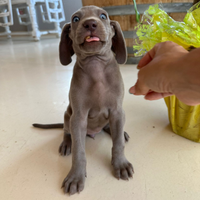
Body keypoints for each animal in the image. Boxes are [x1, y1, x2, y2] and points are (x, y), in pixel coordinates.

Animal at [32, 5, 134, 195]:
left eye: (103, 16)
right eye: (76, 19)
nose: (90, 24)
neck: (96, 67)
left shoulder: (117, 111)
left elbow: (118, 144)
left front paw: (120, 164)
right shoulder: (78, 117)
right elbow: (79, 152)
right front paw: (75, 176)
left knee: (111, 128)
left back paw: (119, 132)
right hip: (68, 115)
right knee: (66, 131)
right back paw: (66, 143)